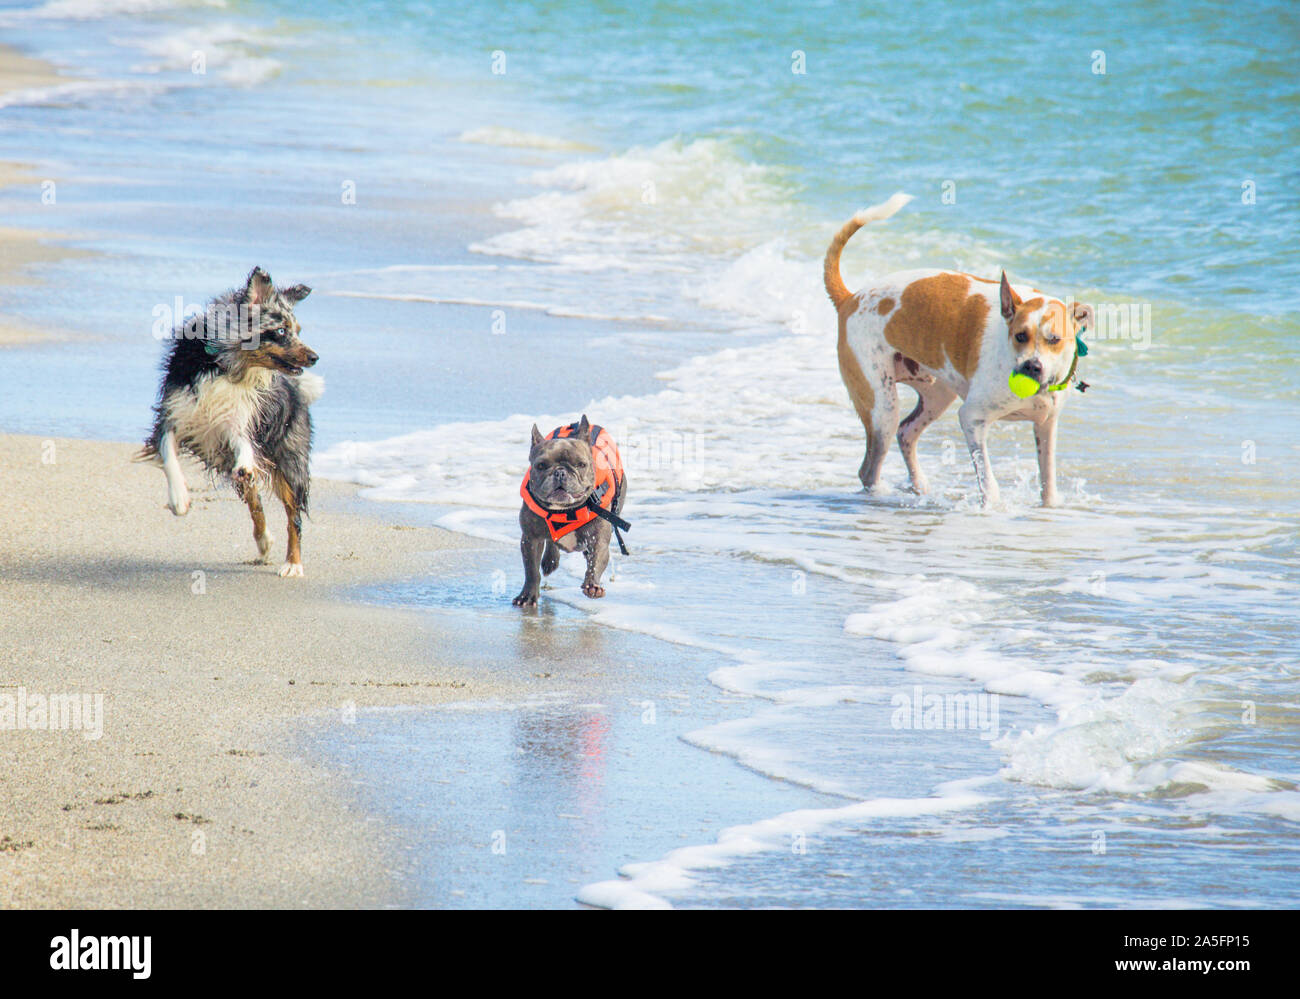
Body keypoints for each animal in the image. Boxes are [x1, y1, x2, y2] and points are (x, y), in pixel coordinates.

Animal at [826, 192, 1092, 507]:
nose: (1031, 366)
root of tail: (850, 299)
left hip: (937, 394)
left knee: (906, 432)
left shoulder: (1046, 425)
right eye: (1020, 336)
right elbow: (988, 480)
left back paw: (919, 486)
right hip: (881, 406)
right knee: (870, 466)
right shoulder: (972, 419)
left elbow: (1048, 483)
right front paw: (991, 506)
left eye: (1054, 339)